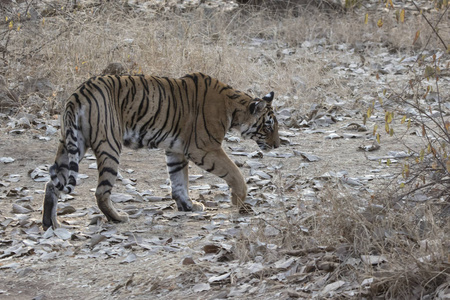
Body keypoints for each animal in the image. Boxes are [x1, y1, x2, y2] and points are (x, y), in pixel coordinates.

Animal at [43, 72, 282, 230]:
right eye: (269, 126)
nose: (278, 145)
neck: (233, 106)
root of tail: (78, 93)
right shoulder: (204, 148)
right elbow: (234, 172)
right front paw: (238, 200)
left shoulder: (176, 150)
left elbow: (179, 180)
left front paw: (188, 205)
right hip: (109, 145)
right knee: (101, 192)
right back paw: (118, 218)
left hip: (72, 143)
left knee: (52, 183)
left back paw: (51, 223)